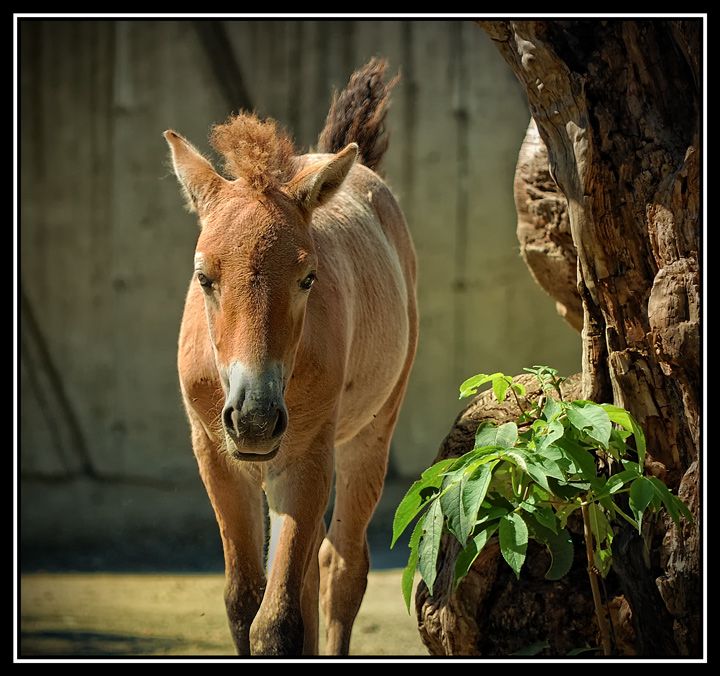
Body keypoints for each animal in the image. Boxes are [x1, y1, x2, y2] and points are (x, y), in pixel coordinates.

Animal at [164, 59, 417, 656]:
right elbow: (243, 605)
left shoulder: (305, 458)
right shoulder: (216, 458)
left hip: (370, 433)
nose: (254, 419)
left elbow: (275, 621)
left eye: (308, 277)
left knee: (342, 567)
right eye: (203, 276)